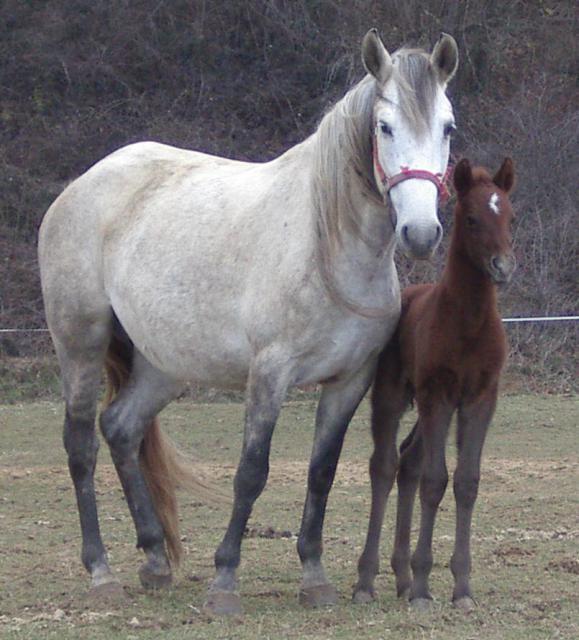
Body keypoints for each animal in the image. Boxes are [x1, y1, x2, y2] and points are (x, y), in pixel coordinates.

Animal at [38, 30, 460, 616]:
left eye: (448, 126)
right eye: (384, 126)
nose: (420, 233)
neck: (326, 246)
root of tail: (80, 186)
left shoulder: (349, 382)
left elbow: (322, 472)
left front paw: (314, 578)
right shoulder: (270, 375)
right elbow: (251, 473)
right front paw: (225, 581)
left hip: (164, 365)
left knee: (120, 428)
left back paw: (154, 560)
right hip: (80, 344)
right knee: (81, 445)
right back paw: (101, 572)